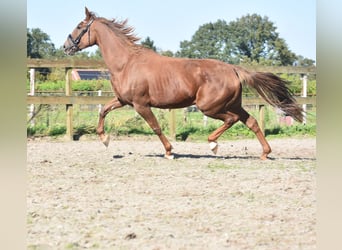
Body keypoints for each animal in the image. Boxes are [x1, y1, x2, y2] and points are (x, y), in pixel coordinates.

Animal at [63, 7, 302, 160]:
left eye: (79, 26)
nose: (66, 46)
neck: (126, 63)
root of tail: (234, 70)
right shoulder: (123, 100)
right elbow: (103, 110)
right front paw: (105, 139)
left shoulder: (141, 104)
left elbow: (156, 127)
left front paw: (169, 152)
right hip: (233, 104)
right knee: (251, 122)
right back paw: (265, 154)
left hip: (210, 106)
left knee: (231, 120)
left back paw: (213, 144)